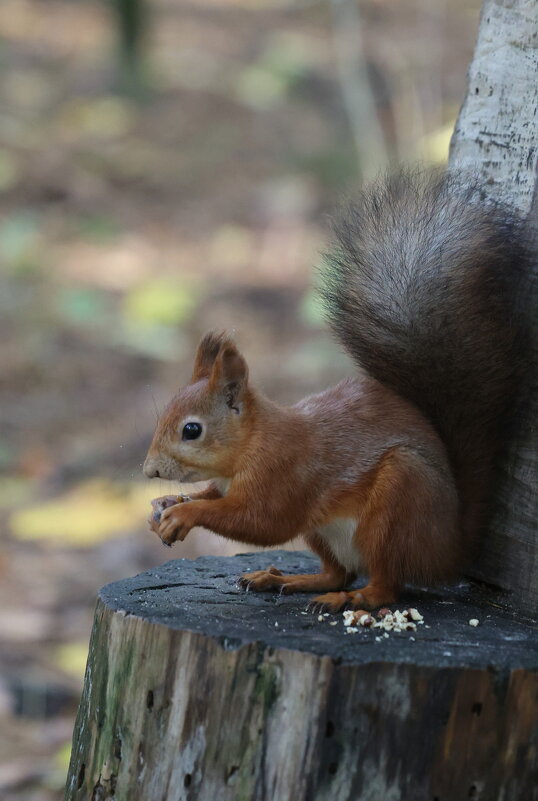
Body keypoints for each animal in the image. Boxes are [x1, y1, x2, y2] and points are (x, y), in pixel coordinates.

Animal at [141, 169, 528, 608]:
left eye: (192, 430)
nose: (150, 470)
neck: (250, 444)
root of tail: (448, 550)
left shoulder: (284, 473)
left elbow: (261, 522)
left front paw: (184, 514)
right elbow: (212, 496)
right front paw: (170, 503)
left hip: (398, 503)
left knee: (386, 584)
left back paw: (356, 601)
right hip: (324, 532)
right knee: (337, 573)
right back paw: (286, 580)